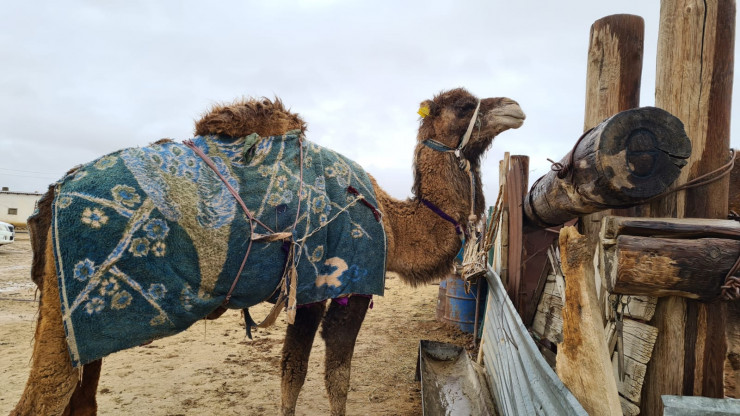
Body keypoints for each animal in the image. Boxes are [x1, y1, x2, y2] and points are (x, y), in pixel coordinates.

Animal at [10, 87, 524, 416]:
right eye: (464, 105)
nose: (515, 107)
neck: (393, 225)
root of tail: (51, 195)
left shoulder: (308, 289)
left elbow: (292, 371)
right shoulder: (346, 281)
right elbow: (336, 376)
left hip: (84, 333)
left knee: (82, 401)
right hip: (68, 310)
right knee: (42, 401)